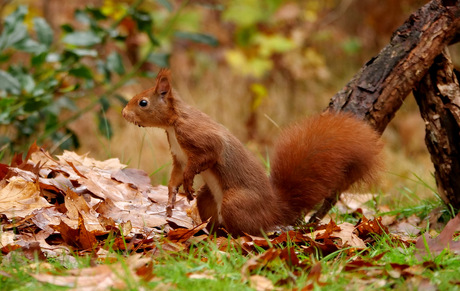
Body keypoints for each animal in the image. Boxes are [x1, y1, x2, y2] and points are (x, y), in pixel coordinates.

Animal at [123, 69, 384, 237]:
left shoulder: (199, 138)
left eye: (143, 102)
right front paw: (170, 199)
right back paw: (209, 233)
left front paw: (187, 184)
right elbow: (175, 176)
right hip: (209, 199)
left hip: (236, 202)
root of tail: (274, 210)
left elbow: (206, 156)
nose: (124, 113)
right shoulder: (179, 156)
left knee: (248, 230)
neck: (173, 123)